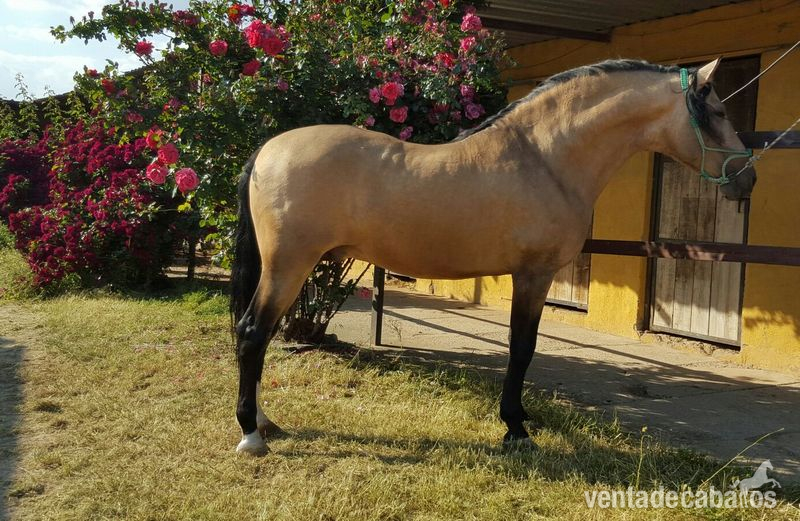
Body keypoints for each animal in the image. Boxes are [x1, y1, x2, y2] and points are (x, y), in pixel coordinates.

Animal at [229, 58, 757, 456]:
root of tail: (268, 150)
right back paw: (252, 434)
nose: (747, 178)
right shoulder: (533, 274)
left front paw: (519, 420)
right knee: (253, 333)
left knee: (256, 334)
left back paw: (265, 420)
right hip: (288, 266)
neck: (544, 158)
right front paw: (516, 430)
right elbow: (522, 348)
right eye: (718, 112)